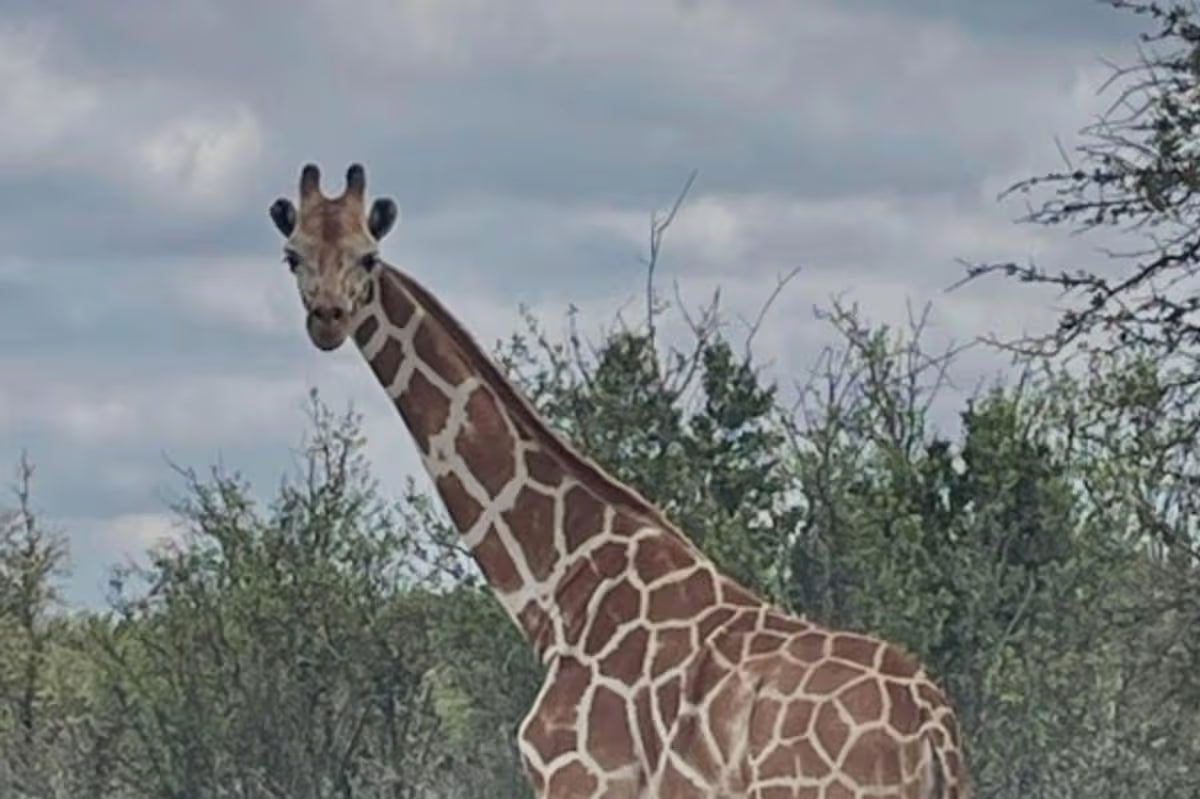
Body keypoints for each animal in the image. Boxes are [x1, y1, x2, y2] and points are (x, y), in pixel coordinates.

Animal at [267, 163, 969, 798]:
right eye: (292, 254)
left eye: (369, 257)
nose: (328, 318)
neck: (557, 588)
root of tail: (935, 732)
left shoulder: (581, 778)